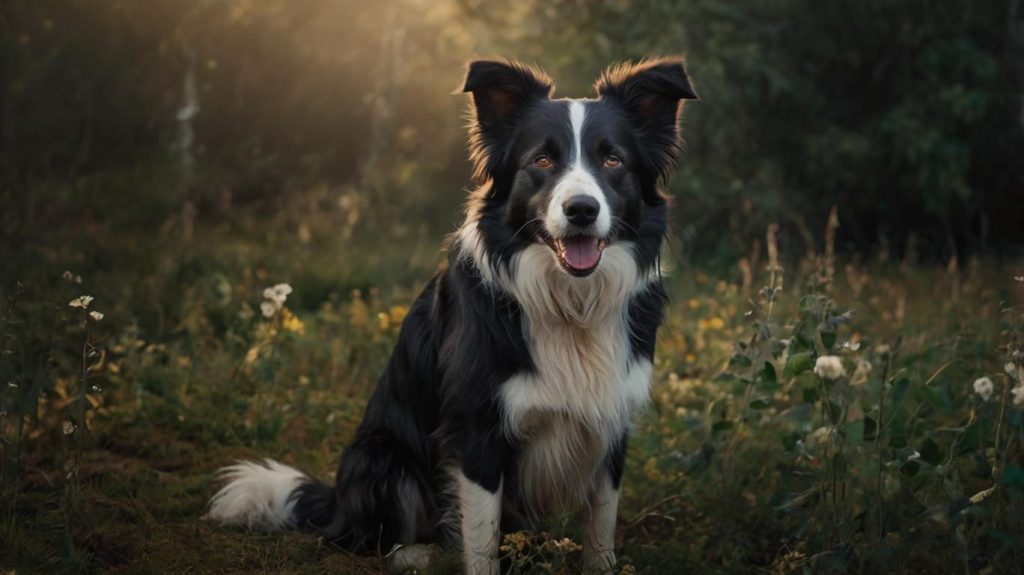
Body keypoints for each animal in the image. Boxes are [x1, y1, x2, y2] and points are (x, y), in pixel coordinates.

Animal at [207, 58, 696, 572]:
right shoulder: (476, 433)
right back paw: (415, 553)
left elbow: (601, 531)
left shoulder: (611, 425)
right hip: (381, 458)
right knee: (370, 538)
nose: (581, 209)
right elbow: (480, 543)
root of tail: (337, 502)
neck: (570, 303)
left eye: (613, 161)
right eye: (541, 161)